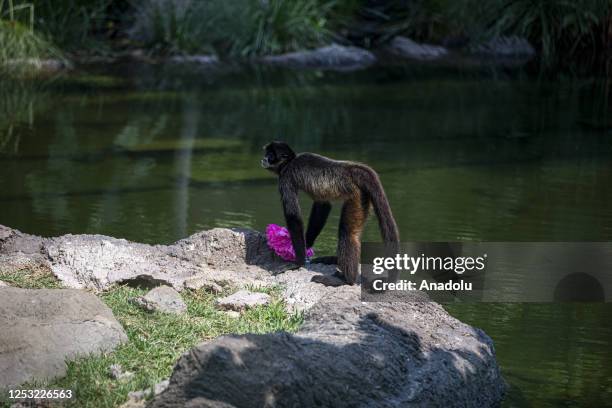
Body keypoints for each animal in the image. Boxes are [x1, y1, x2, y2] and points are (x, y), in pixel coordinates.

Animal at [260, 142, 400, 286]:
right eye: (266, 154)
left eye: (270, 155)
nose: (264, 159)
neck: (290, 162)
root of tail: (352, 169)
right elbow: (323, 205)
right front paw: (307, 246)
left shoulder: (286, 178)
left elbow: (294, 218)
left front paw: (297, 262)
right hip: (363, 198)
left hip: (356, 196)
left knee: (347, 234)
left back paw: (346, 280)